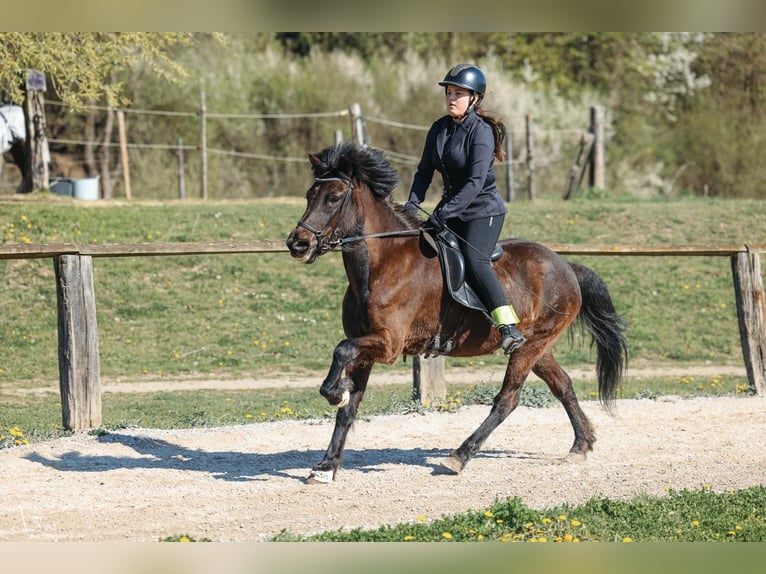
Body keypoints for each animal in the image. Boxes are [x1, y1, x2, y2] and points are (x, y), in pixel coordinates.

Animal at [285, 141, 628, 484]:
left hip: (530, 347)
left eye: (333, 197)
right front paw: (326, 466)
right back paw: (581, 445)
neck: (380, 267)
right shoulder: (365, 347)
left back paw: (459, 456)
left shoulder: (388, 344)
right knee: (563, 385)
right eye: (309, 195)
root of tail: (567, 266)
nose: (297, 244)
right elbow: (348, 408)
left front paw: (334, 392)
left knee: (508, 399)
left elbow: (341, 351)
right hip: (538, 347)